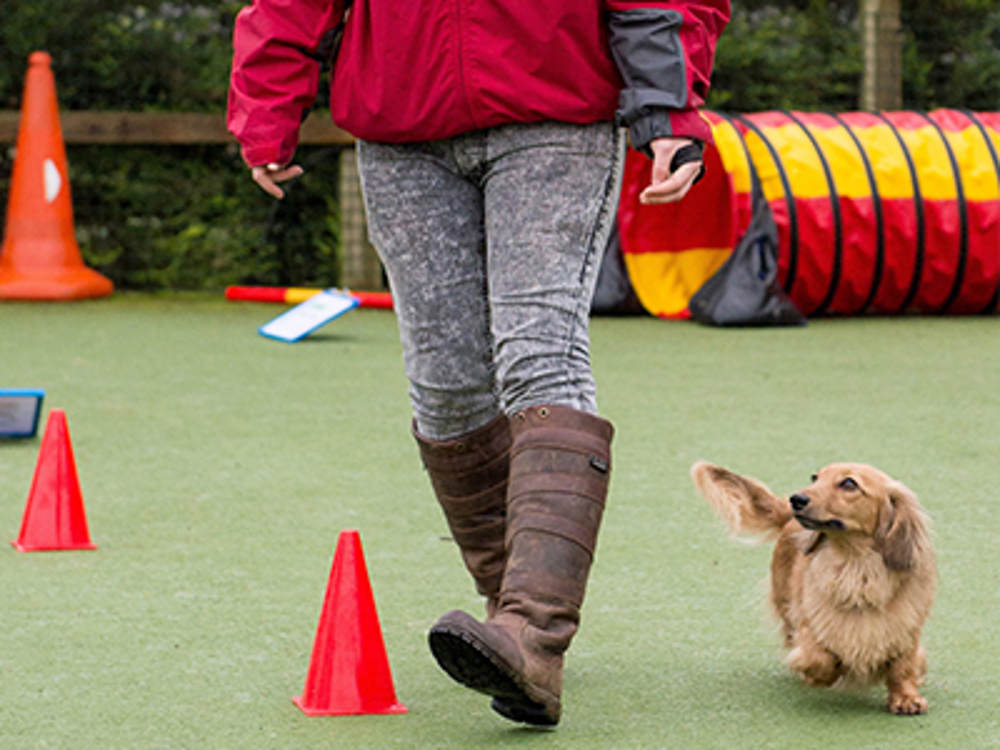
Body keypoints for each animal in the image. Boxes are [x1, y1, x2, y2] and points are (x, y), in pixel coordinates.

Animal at [688, 462, 936, 712]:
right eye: (815, 478)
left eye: (849, 483)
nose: (796, 499)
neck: (856, 571)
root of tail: (789, 519)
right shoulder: (811, 624)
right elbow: (819, 657)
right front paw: (822, 675)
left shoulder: (905, 630)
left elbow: (902, 667)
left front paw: (906, 697)